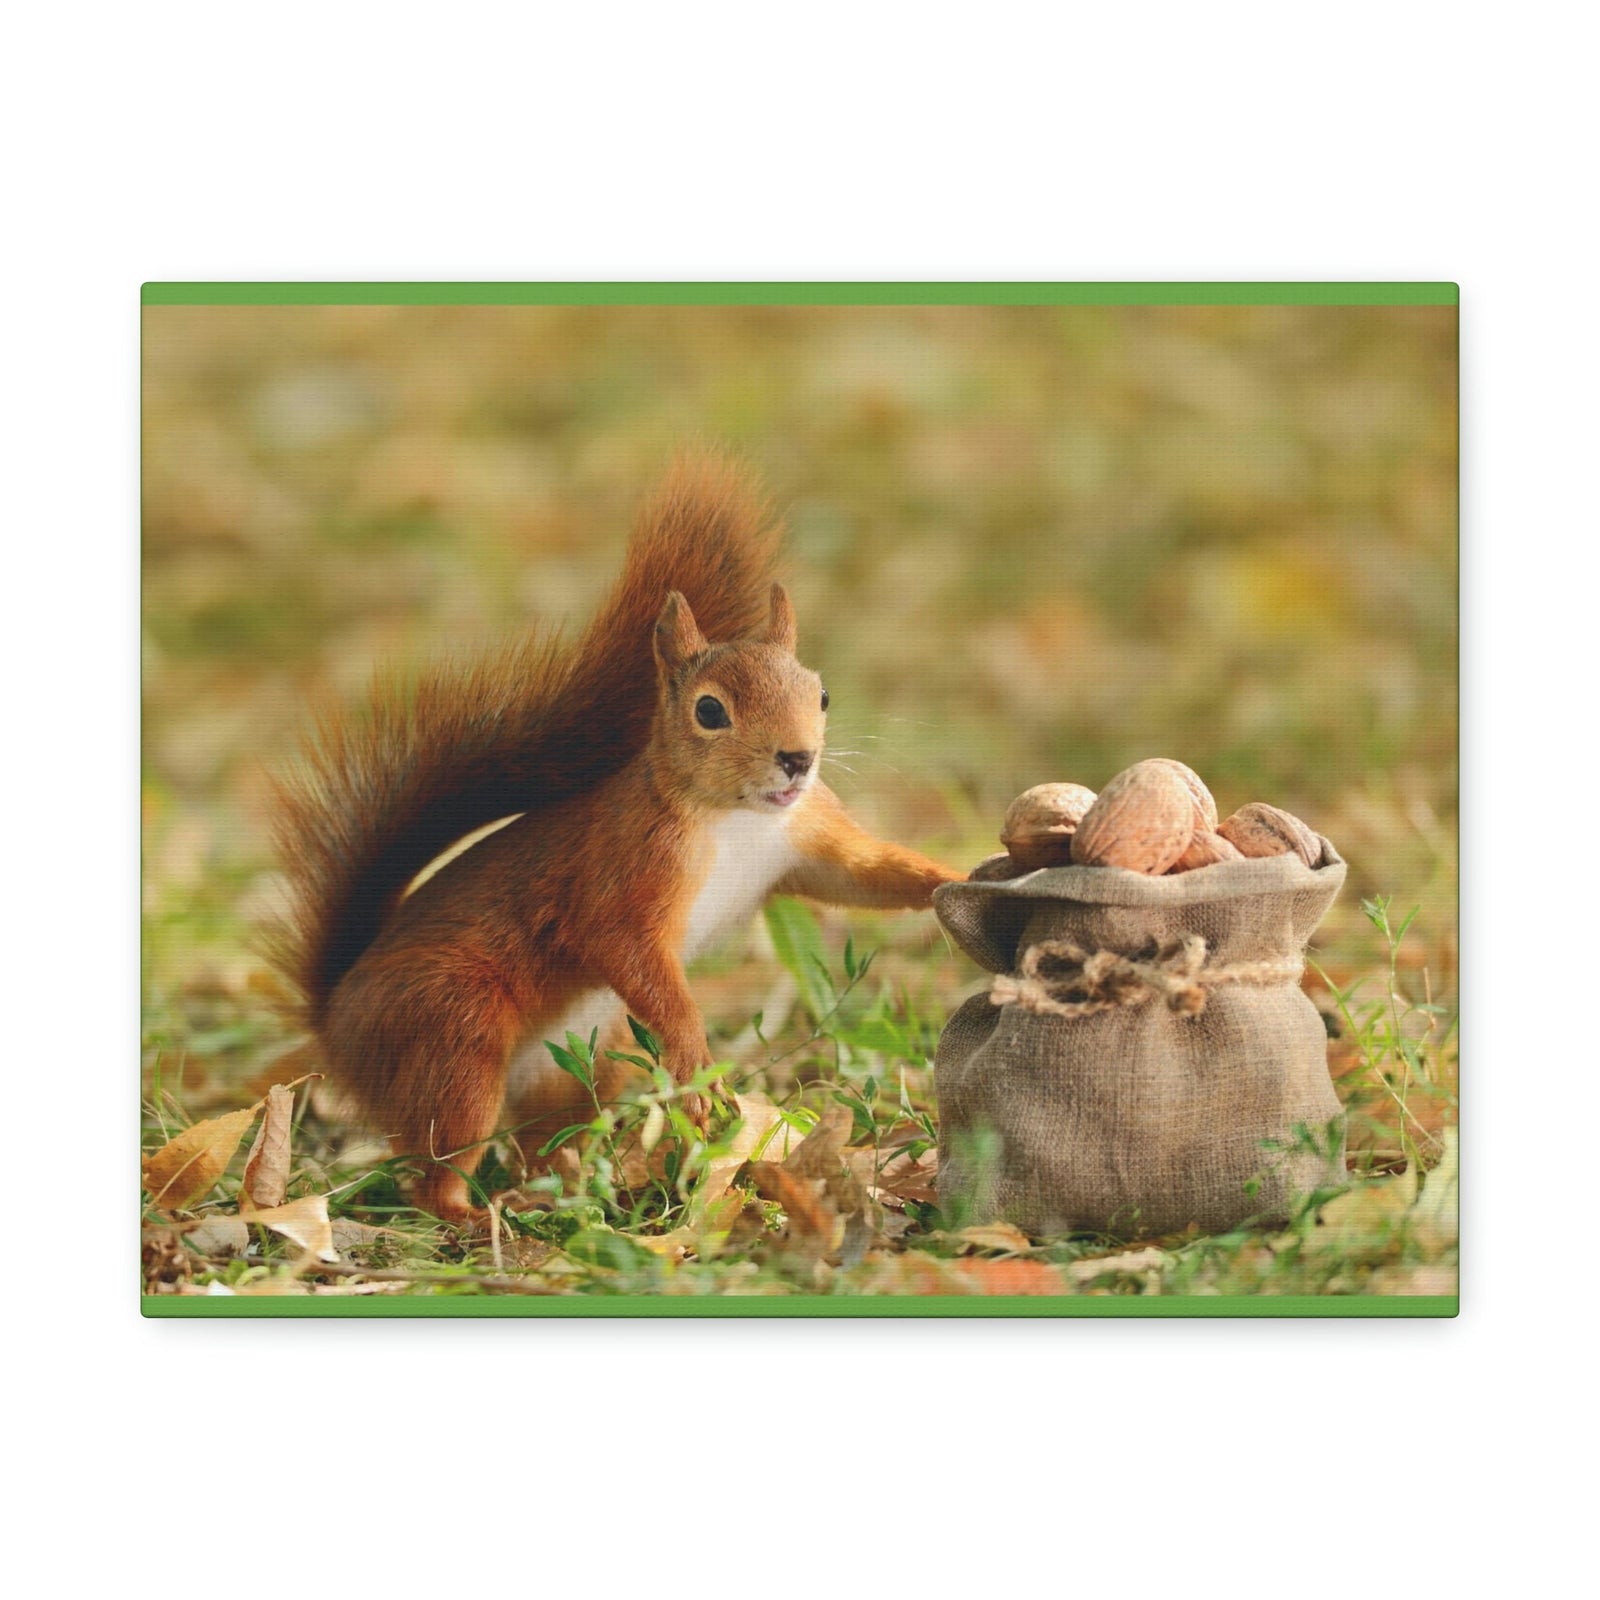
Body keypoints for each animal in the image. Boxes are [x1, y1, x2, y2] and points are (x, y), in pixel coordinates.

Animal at [270, 454, 963, 1221]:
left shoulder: (806, 836)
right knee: (436, 1164)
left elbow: (865, 874)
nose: (797, 759)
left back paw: (574, 1189)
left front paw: (957, 880)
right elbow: (624, 946)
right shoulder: (625, 871)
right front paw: (697, 1066)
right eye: (710, 711)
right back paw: (476, 1214)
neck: (739, 819)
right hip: (453, 1035)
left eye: (822, 694)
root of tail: (335, 1021)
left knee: (543, 1140)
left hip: (571, 1070)